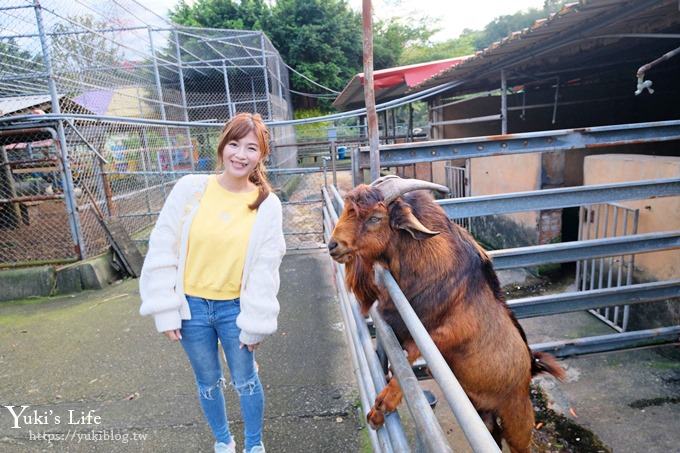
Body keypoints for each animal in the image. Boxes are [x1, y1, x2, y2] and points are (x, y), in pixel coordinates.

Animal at [328, 176, 564, 452]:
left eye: (375, 217)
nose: (333, 245)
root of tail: (531, 368)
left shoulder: (455, 332)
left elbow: (419, 350)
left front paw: (382, 405)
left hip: (517, 416)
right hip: (483, 412)